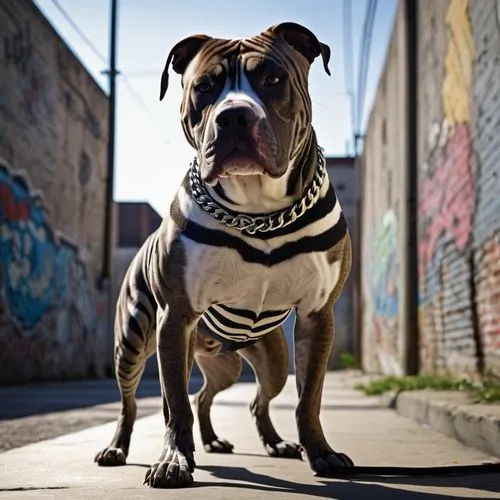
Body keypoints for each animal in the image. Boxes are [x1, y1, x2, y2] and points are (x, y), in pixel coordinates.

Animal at [94, 21, 352, 486]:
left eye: (272, 79)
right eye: (204, 87)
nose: (233, 114)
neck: (260, 213)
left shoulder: (316, 316)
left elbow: (310, 398)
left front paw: (321, 452)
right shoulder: (176, 317)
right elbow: (173, 406)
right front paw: (174, 460)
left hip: (262, 362)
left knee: (238, 398)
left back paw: (265, 442)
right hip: (134, 343)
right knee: (133, 402)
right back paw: (118, 447)